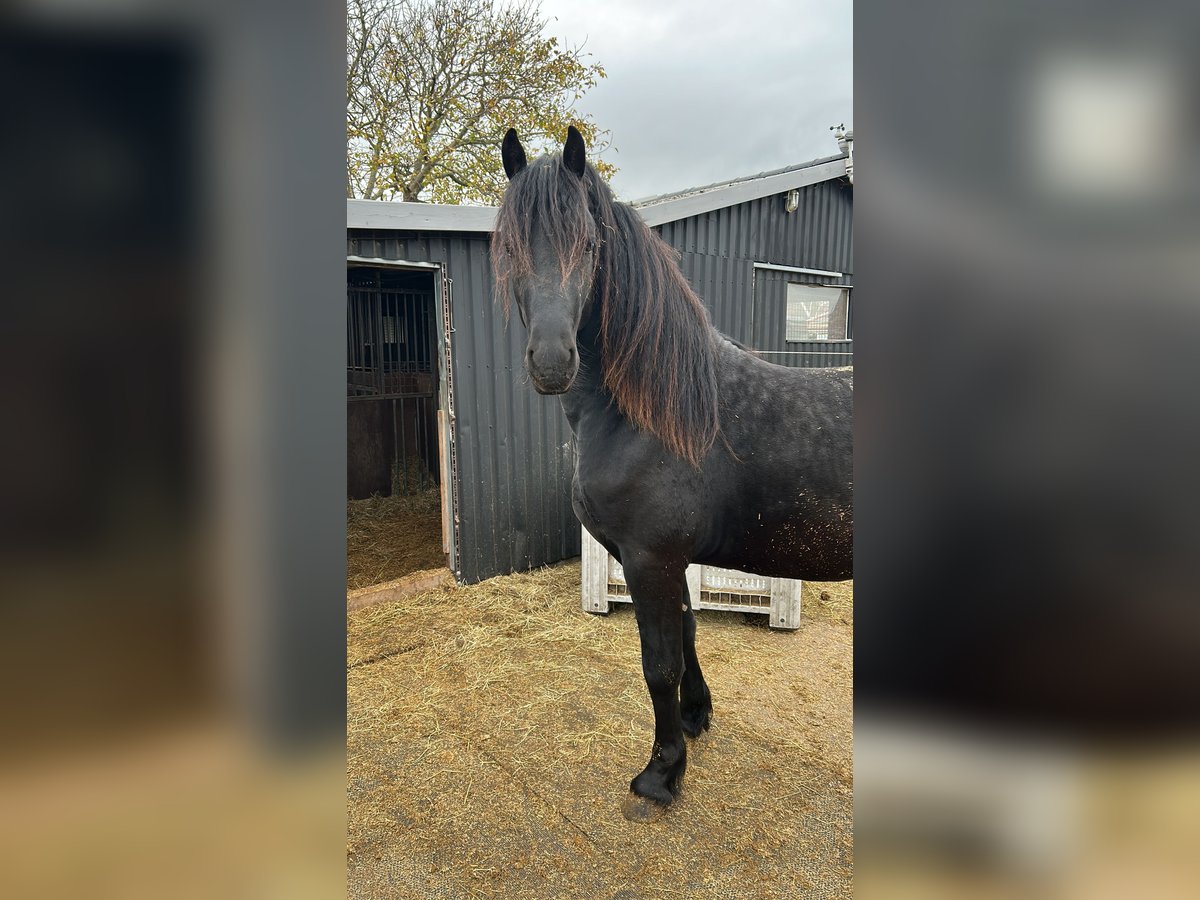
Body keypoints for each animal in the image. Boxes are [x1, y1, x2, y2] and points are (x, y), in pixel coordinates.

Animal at [492, 126, 853, 818]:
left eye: (588, 243)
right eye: (509, 246)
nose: (552, 362)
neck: (655, 412)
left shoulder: (649, 558)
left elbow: (657, 664)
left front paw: (661, 774)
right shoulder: (668, 560)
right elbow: (687, 635)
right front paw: (694, 718)